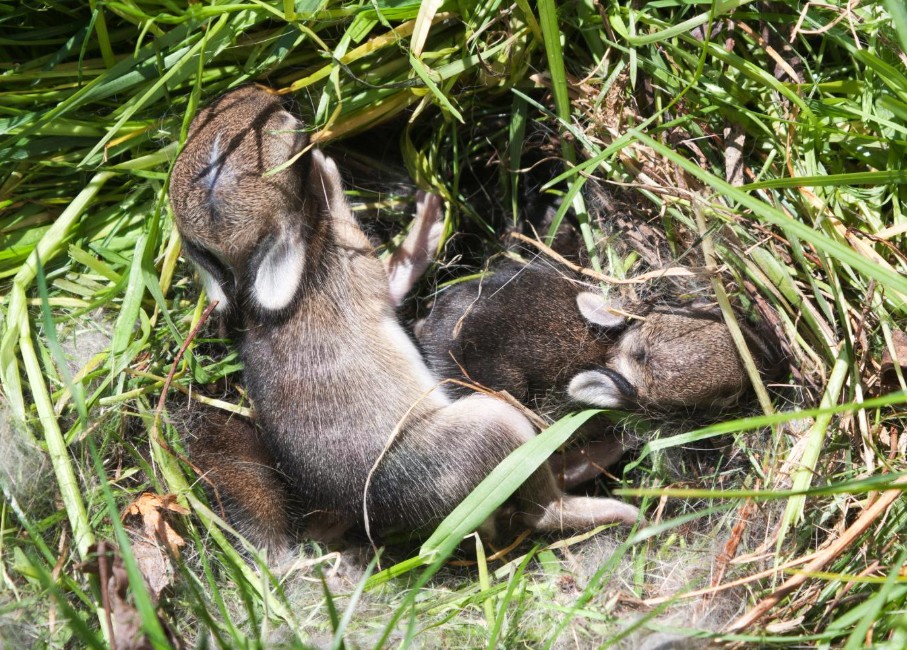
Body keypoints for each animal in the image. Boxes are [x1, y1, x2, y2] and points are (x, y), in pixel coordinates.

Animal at [168, 85, 641, 551]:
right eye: (218, 165)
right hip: (494, 426)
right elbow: (382, 262)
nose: (263, 94)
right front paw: (330, 175)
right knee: (538, 509)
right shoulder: (359, 273)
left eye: (199, 127)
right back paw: (610, 481)